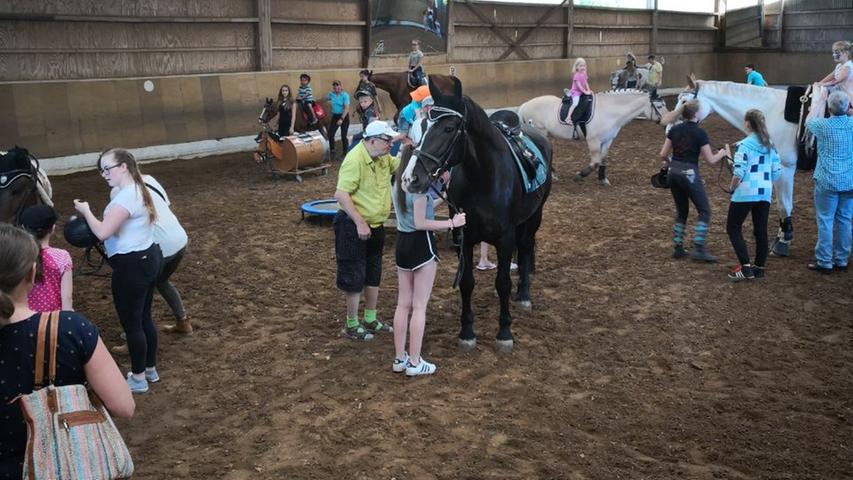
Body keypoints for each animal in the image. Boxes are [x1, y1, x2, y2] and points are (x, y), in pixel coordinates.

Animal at [402, 76, 552, 352]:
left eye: (449, 128)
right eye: (425, 124)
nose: (411, 178)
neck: (484, 177)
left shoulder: (505, 237)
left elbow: (502, 282)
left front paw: (504, 333)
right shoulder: (463, 237)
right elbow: (467, 282)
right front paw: (467, 332)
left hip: (534, 216)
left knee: (526, 248)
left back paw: (524, 294)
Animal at [520, 90, 664, 186]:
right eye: (659, 106)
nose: (667, 120)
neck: (609, 111)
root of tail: (525, 105)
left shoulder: (607, 140)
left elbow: (603, 159)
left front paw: (603, 179)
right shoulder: (593, 141)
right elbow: (595, 162)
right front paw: (579, 176)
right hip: (541, 132)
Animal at [668, 76, 804, 255]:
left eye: (684, 101)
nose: (669, 128)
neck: (772, 112)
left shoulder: (786, 168)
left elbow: (784, 205)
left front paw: (782, 242)